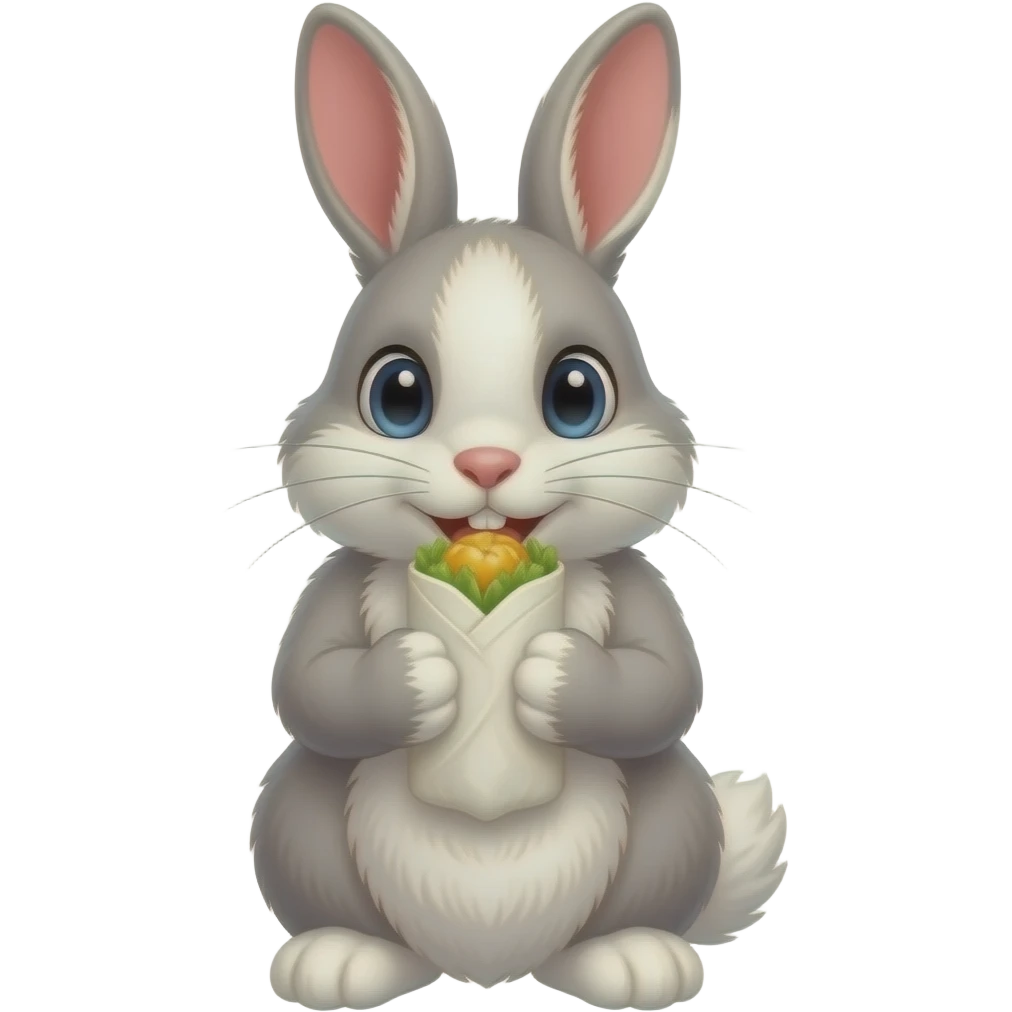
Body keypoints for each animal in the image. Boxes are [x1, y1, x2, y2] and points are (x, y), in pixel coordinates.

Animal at [250, 3, 786, 1010]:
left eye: (578, 395)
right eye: (398, 395)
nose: (487, 460)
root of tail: (487, 966)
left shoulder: (639, 605)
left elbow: (663, 686)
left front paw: (552, 669)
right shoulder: (334, 609)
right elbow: (310, 686)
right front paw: (419, 671)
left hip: (671, 826)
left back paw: (632, 959)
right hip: (298, 824)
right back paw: (342, 957)